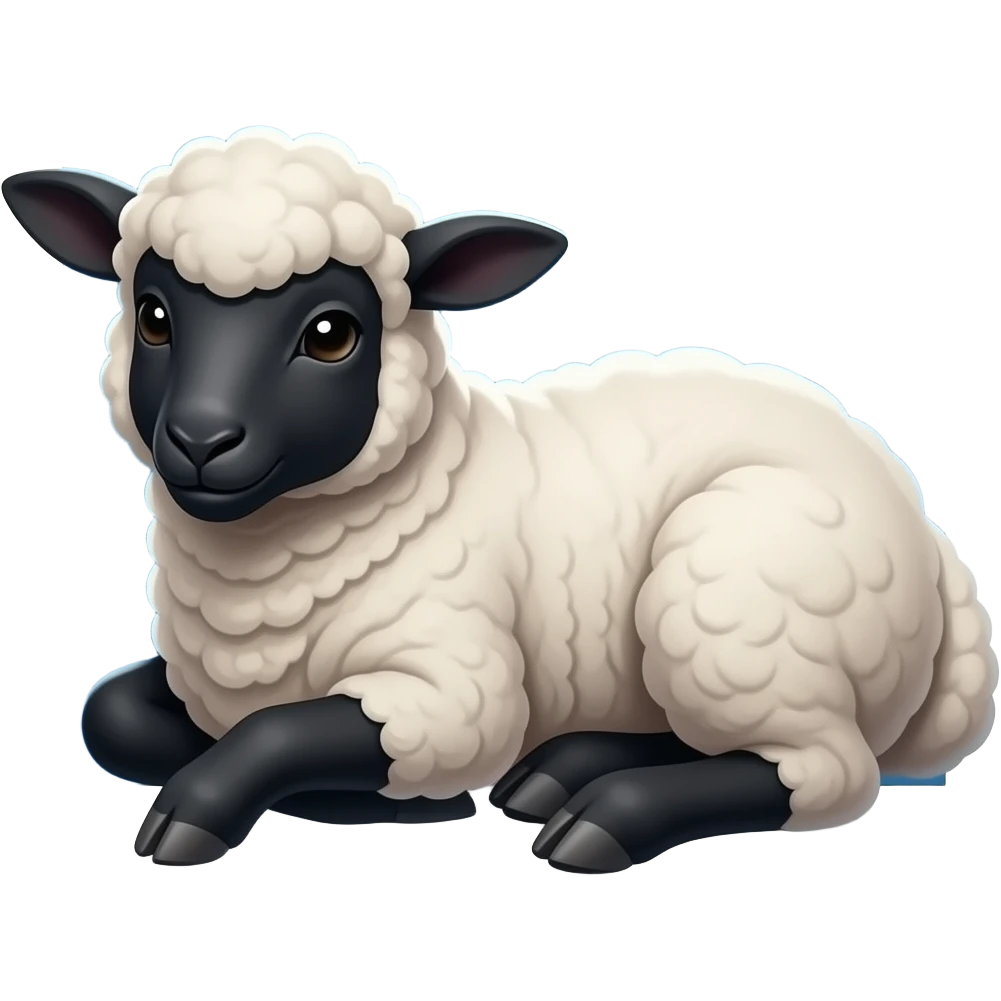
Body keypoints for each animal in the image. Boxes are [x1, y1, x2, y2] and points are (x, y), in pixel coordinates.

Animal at [5, 126, 996, 874]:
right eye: (154, 314)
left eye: (330, 334)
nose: (201, 440)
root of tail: (925, 540)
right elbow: (112, 713)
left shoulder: (451, 685)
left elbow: (282, 732)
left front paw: (213, 812)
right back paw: (558, 771)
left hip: (740, 586)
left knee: (820, 769)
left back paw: (599, 817)